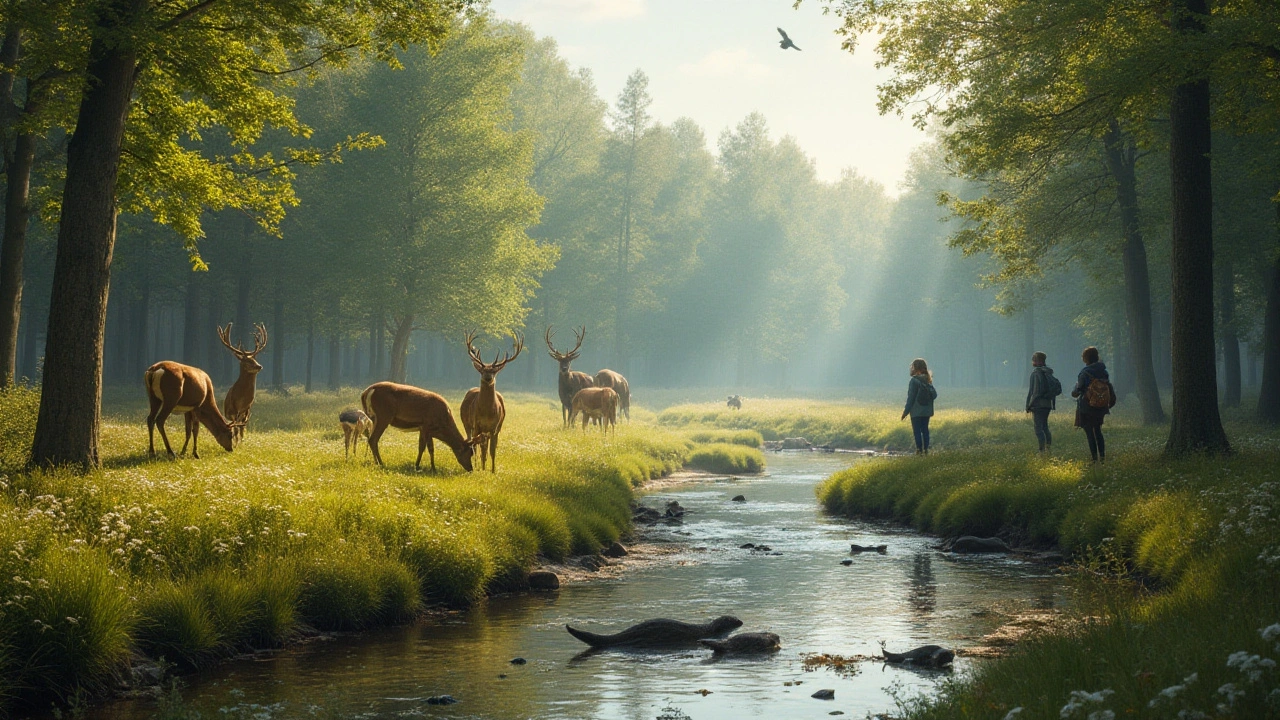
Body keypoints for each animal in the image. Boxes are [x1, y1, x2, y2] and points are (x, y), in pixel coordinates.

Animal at [360, 379, 488, 474]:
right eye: (469, 453)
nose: (470, 469)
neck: (442, 426)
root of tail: (366, 392)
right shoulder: (426, 425)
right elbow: (425, 447)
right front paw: (423, 467)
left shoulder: (424, 428)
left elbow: (427, 448)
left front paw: (427, 467)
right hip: (384, 415)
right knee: (373, 439)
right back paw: (380, 463)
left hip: (373, 417)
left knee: (370, 439)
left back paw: (374, 461)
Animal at [463, 330, 522, 471]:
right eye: (482, 370)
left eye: (494, 371)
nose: (488, 377)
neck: (487, 412)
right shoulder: (477, 424)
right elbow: (477, 447)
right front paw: (477, 467)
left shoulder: (494, 428)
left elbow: (492, 450)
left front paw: (493, 470)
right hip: (467, 424)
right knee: (473, 443)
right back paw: (478, 464)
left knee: (484, 446)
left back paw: (483, 465)